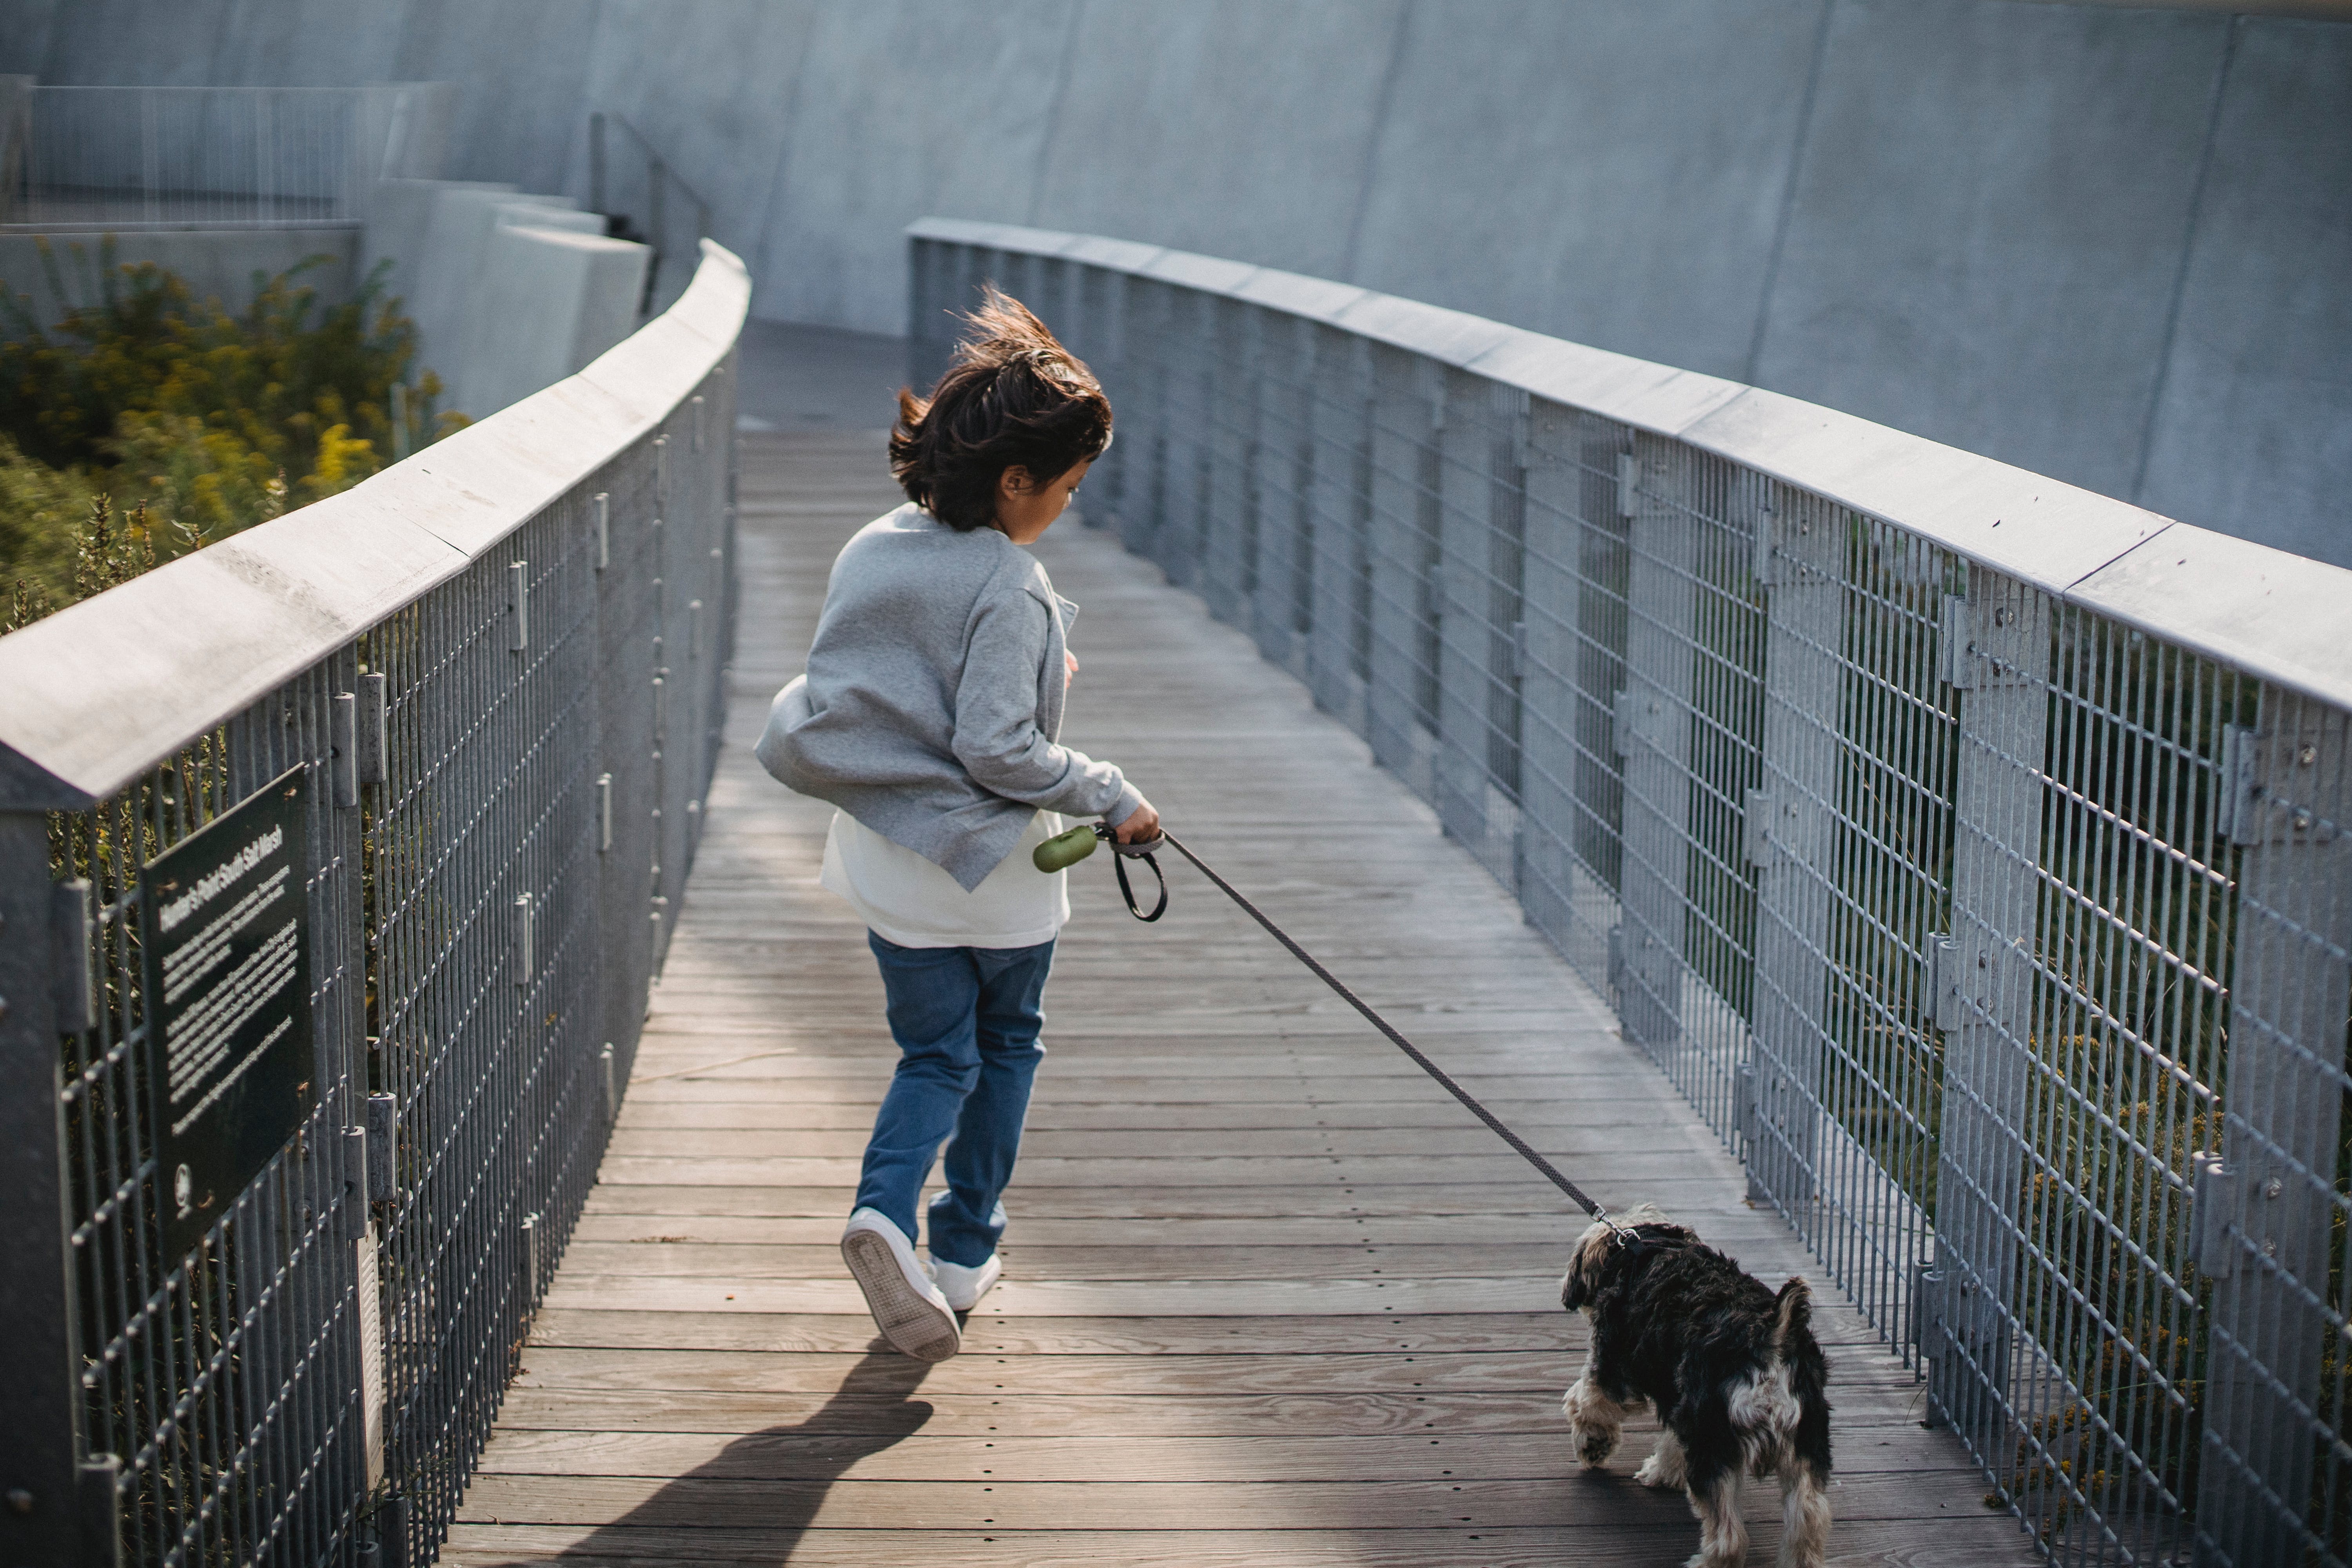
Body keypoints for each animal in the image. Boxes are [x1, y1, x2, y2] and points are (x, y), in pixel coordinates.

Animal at [1562, 1213, 1835, 1561]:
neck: (1637, 1245)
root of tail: (1772, 1338)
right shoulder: (1680, 1398)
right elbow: (1673, 1442)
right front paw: (1663, 1473)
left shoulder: (1613, 1371)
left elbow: (1586, 1403)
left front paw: (1593, 1445)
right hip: (1806, 1444)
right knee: (1808, 1518)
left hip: (1714, 1444)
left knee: (1729, 1538)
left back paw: (1705, 1560)